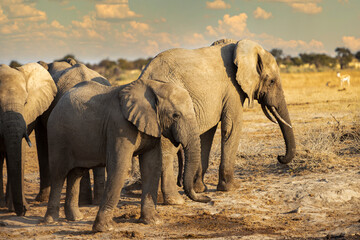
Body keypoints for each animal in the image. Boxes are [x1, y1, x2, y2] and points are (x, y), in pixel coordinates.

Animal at [43, 78, 210, 231]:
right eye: (175, 115)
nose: (207, 198)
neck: (154, 86)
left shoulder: (151, 125)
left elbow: (152, 166)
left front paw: (153, 222)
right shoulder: (119, 126)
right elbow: (119, 167)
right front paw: (104, 228)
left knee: (76, 174)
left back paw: (75, 218)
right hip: (57, 135)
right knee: (59, 175)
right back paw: (51, 220)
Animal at [137, 38, 296, 203]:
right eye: (271, 81)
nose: (279, 157)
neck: (240, 47)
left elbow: (207, 133)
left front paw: (200, 189)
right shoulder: (232, 89)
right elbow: (232, 127)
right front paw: (231, 188)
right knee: (167, 150)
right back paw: (173, 200)